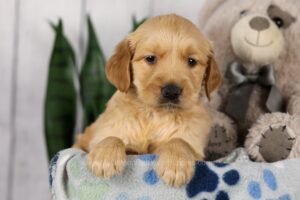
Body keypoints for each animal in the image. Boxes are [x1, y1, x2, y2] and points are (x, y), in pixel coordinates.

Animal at [74, 14, 221, 188]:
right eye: (150, 58)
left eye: (191, 61)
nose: (171, 91)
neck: (155, 115)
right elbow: (112, 137)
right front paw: (105, 156)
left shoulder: (196, 149)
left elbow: (179, 141)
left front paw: (176, 163)